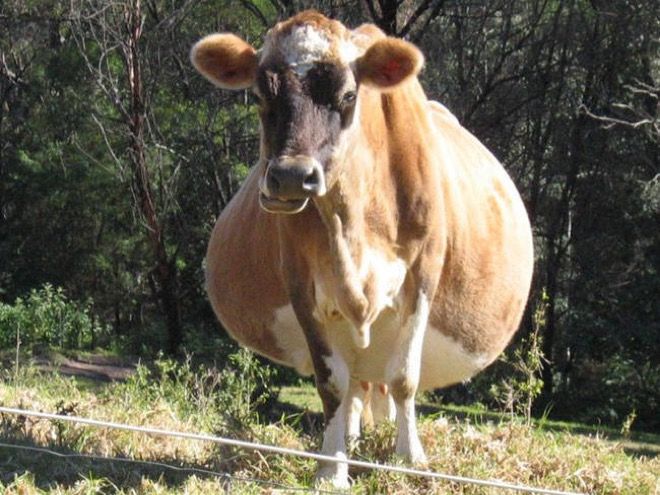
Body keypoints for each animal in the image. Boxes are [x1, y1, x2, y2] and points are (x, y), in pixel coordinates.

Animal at [192, 9, 536, 490]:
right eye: (259, 94)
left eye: (349, 94)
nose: (291, 177)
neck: (353, 226)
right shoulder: (302, 286)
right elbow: (332, 382)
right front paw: (331, 467)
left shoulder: (423, 276)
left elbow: (405, 377)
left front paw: (409, 459)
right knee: (355, 380)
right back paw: (352, 440)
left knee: (382, 382)